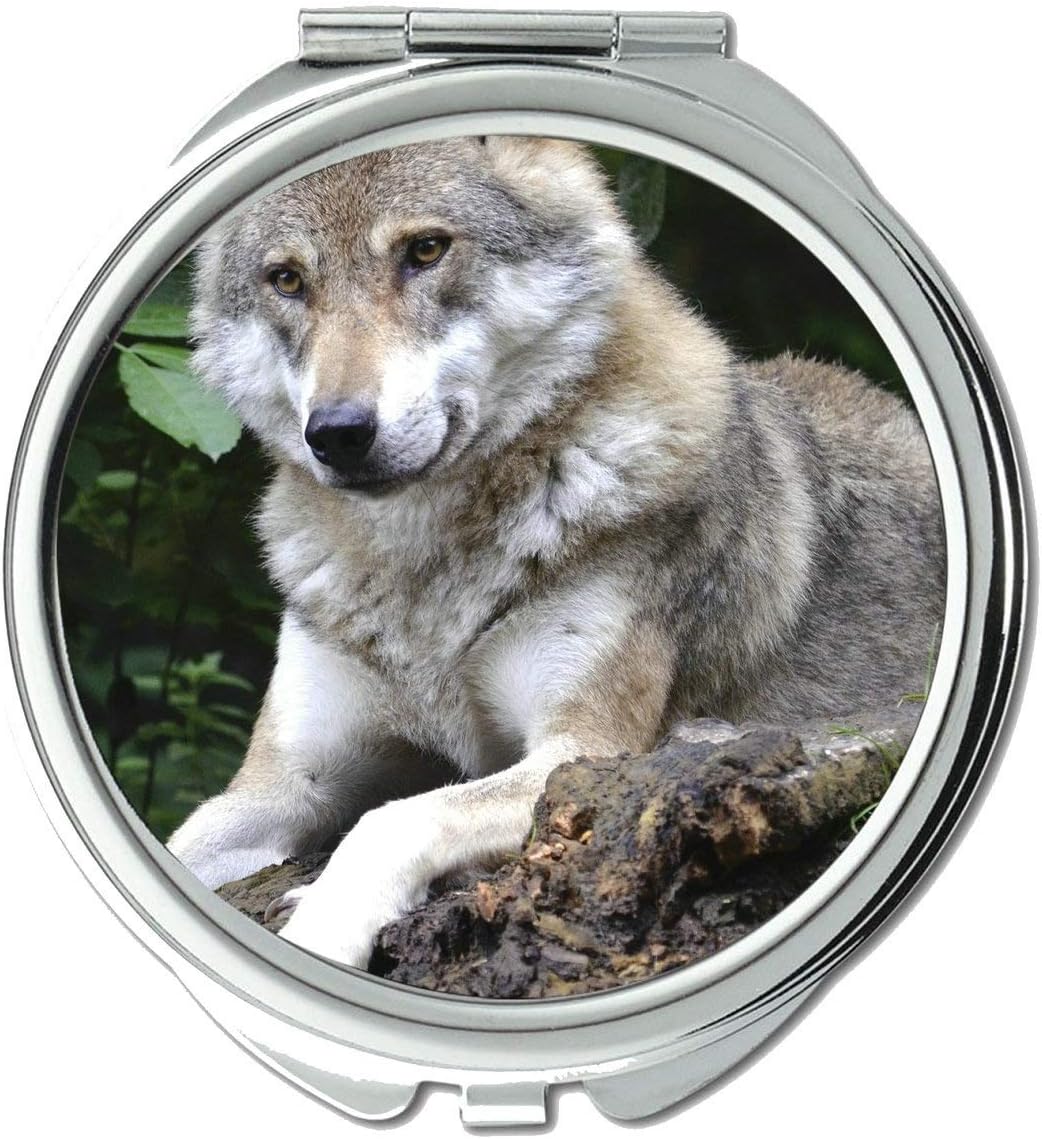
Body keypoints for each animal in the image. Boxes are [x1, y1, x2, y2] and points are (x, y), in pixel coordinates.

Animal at [167, 136, 944, 969]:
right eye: (287, 279)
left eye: (426, 250)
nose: (339, 432)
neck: (424, 575)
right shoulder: (284, 785)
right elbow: (184, 840)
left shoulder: (584, 755)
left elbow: (392, 818)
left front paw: (320, 921)